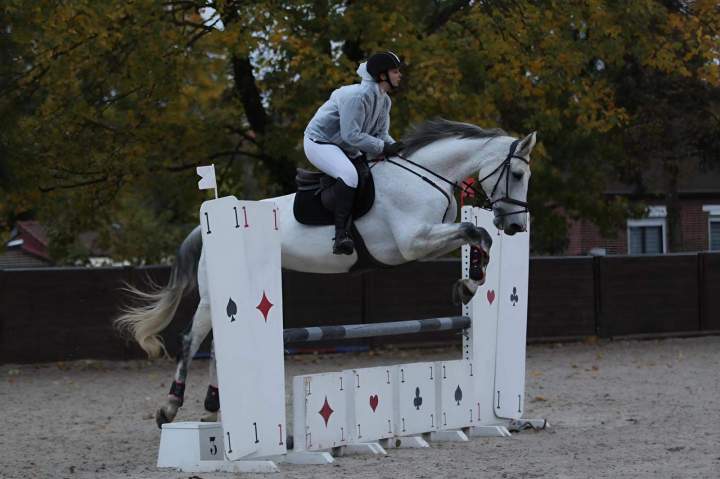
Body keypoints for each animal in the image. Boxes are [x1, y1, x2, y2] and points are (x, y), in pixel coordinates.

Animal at [114, 118, 536, 427]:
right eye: (516, 173)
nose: (516, 225)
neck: (422, 176)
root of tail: (206, 224)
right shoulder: (411, 242)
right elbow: (474, 231)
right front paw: (468, 284)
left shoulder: (426, 241)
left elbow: (478, 235)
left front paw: (469, 283)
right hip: (210, 293)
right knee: (192, 339)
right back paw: (170, 407)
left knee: (217, 343)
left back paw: (213, 405)